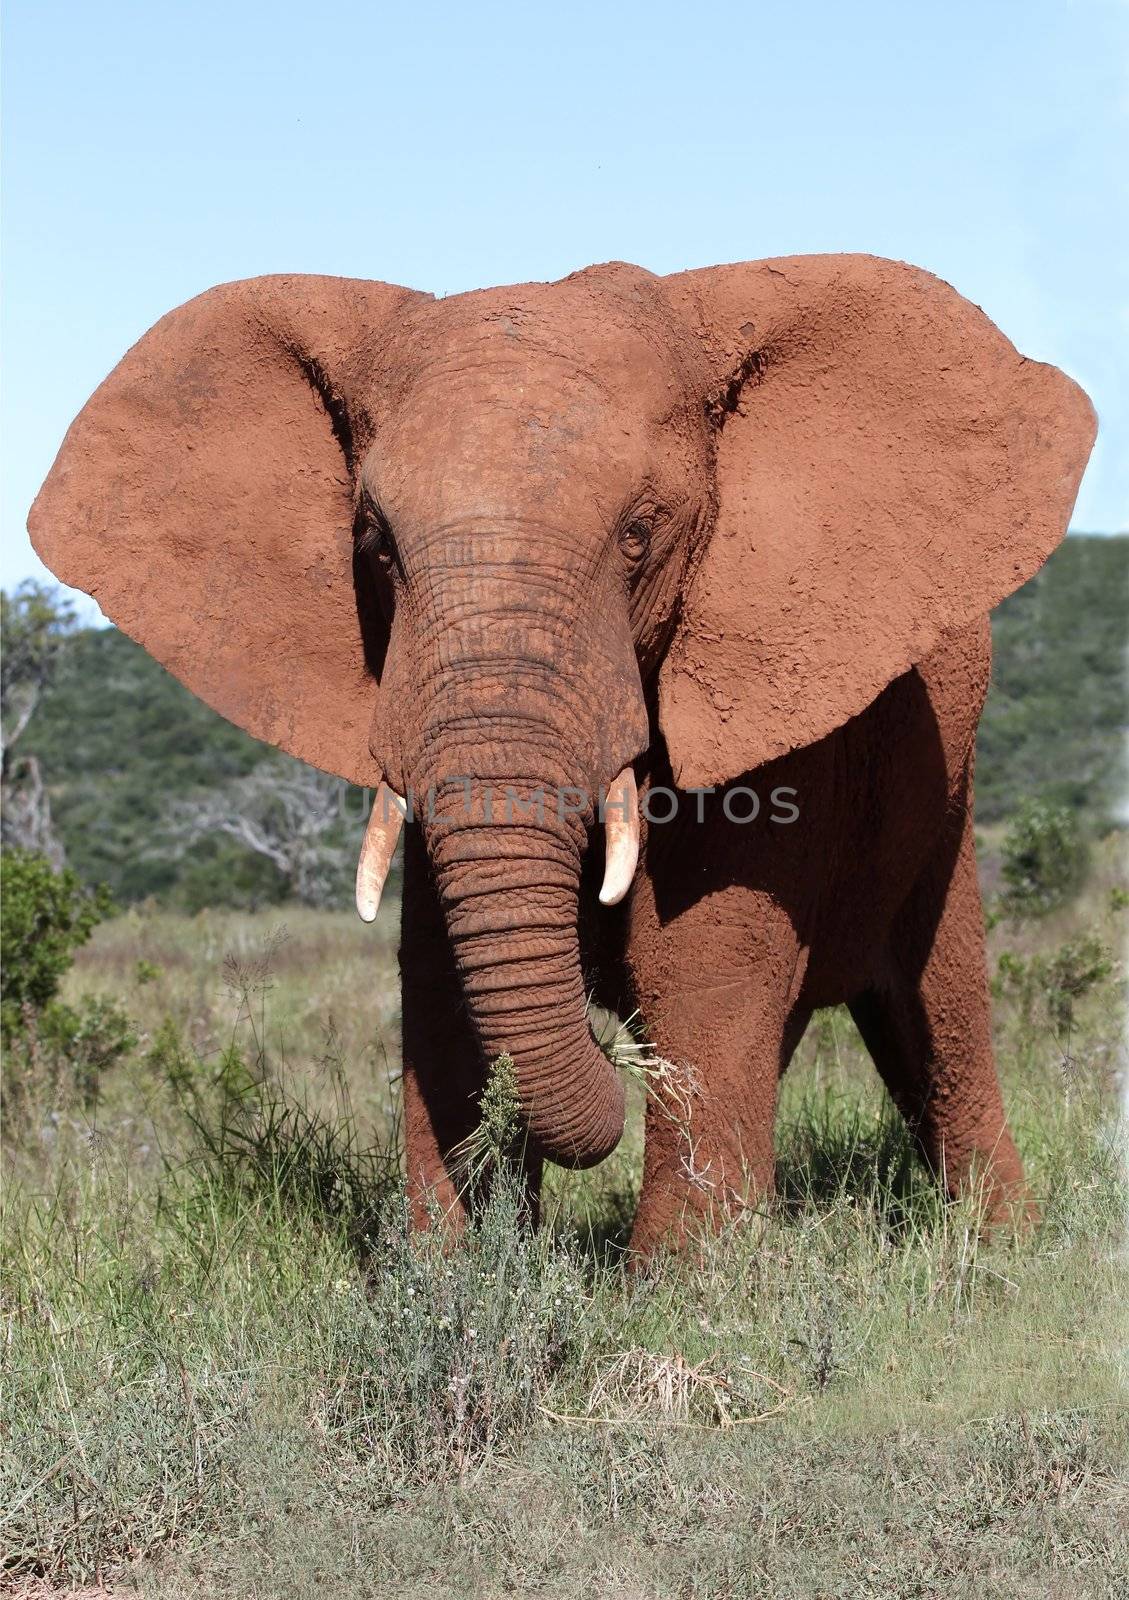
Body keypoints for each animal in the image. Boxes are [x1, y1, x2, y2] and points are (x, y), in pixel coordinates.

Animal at [30, 252, 1087, 1248]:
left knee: (940, 1015)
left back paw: (999, 1242)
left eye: (639, 535)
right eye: (374, 543)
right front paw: (455, 1279)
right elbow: (439, 983)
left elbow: (698, 961)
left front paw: (680, 1288)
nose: (611, 1065)